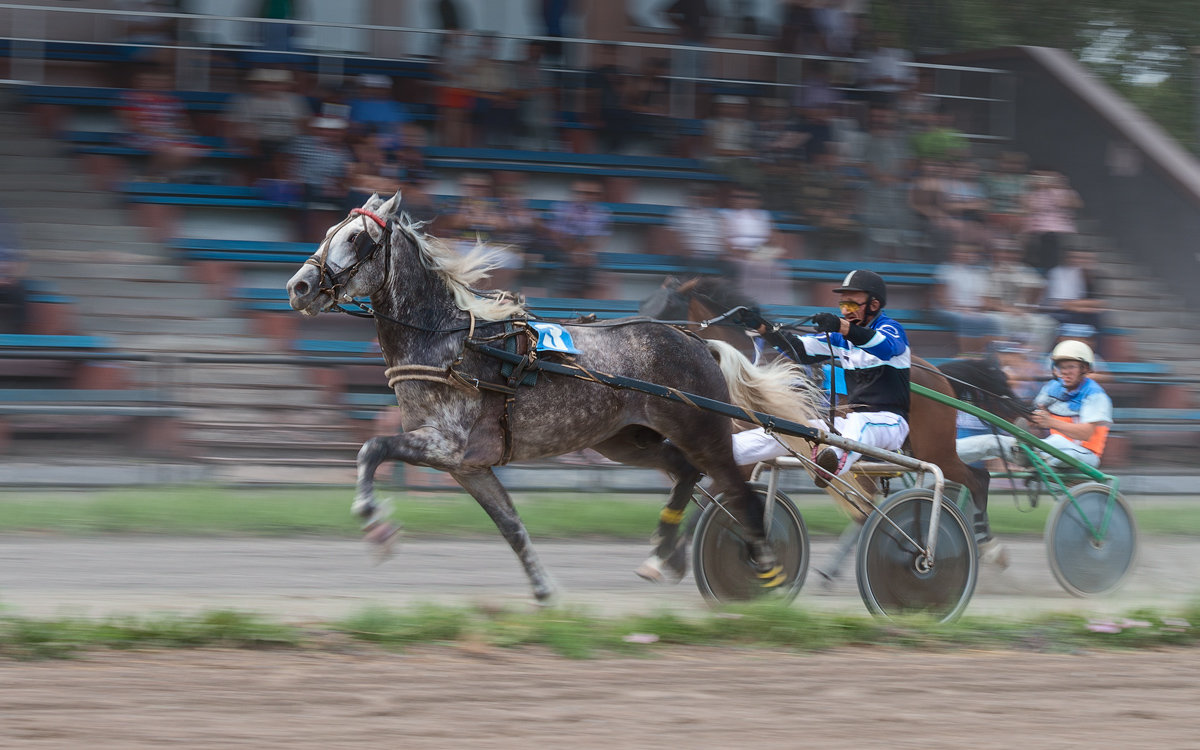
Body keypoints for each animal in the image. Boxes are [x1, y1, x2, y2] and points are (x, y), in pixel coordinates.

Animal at [283, 193, 825, 602]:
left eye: (357, 238)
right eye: (330, 230)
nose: (298, 286)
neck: (450, 340)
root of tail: (695, 341)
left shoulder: (446, 443)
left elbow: (371, 448)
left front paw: (375, 524)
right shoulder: (467, 465)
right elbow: (512, 527)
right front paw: (546, 591)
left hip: (704, 428)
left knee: (738, 491)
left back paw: (763, 567)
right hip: (627, 439)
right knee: (686, 472)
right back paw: (664, 554)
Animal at [638, 274, 1022, 544]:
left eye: (665, 311)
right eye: (645, 306)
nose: (636, 342)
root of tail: (939, 375)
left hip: (933, 447)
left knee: (977, 479)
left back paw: (985, 542)